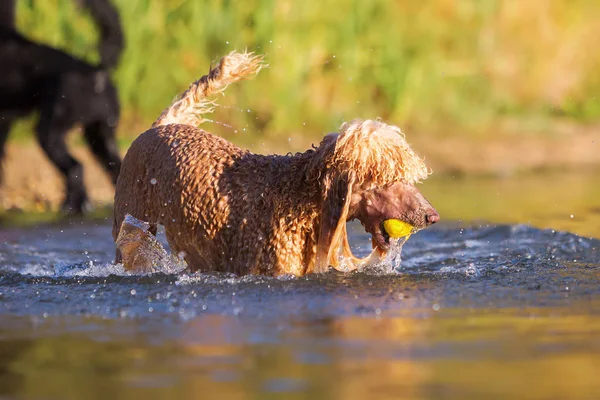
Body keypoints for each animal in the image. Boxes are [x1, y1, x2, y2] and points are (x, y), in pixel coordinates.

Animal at [0, 0, 124, 214]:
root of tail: (97, 72)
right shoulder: (6, 119)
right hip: (100, 135)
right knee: (115, 168)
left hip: (50, 132)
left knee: (76, 167)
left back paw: (71, 207)